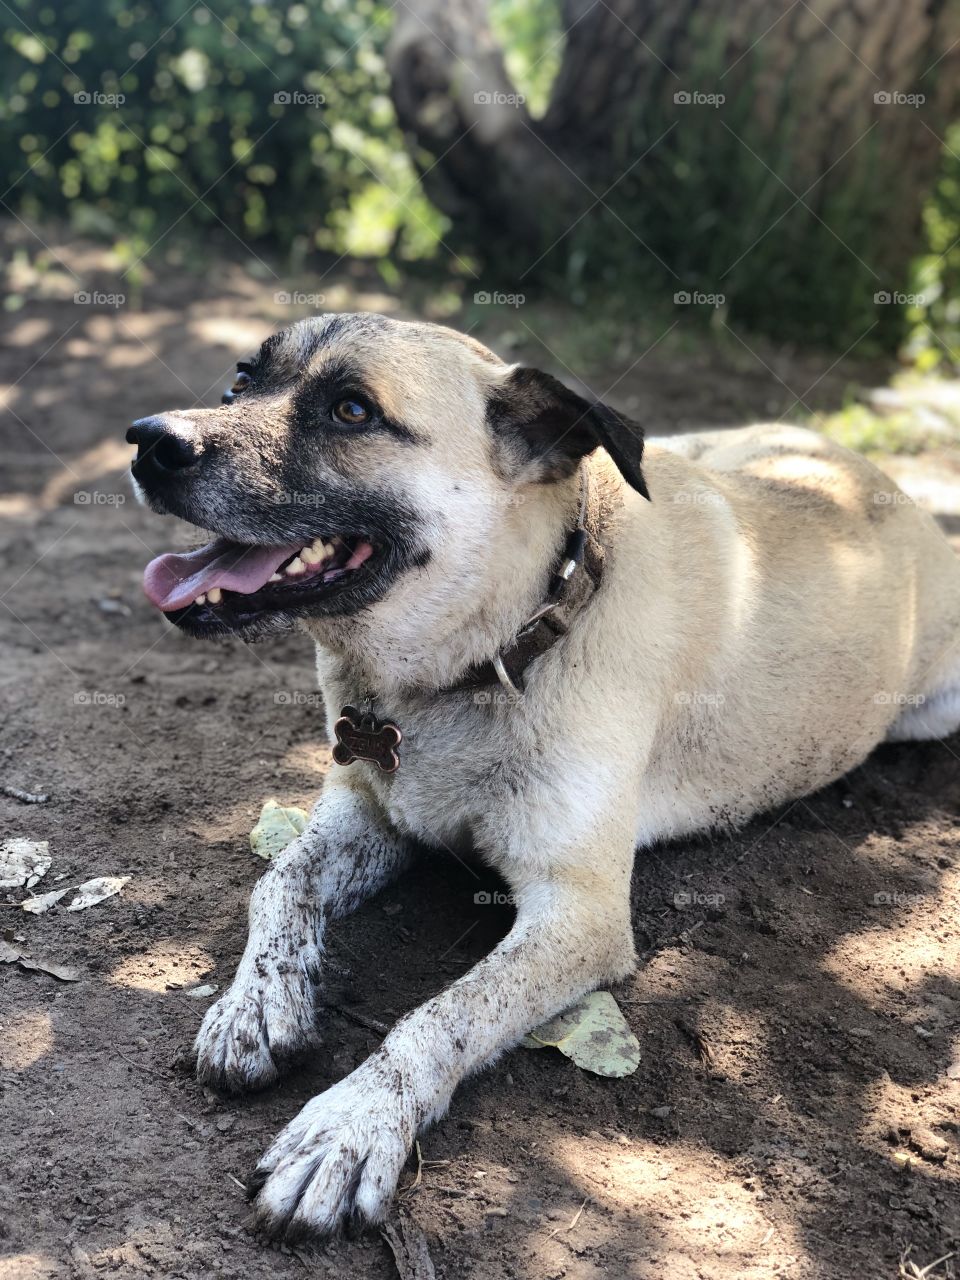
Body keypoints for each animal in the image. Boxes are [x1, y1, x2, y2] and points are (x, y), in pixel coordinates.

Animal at [126, 312, 960, 1239]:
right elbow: (277, 883)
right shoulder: (364, 809)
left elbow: (441, 1015)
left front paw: (349, 1126)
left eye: (351, 410)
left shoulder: (579, 914)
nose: (147, 440)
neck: (509, 637)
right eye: (241, 378)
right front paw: (257, 1005)